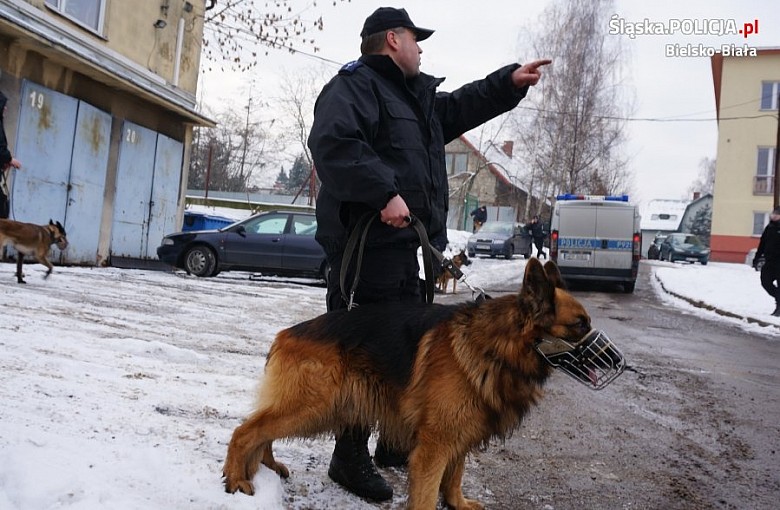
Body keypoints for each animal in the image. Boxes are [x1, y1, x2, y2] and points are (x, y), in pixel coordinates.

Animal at [222, 260, 600, 508]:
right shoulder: (434, 446)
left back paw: (265, 466)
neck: (498, 344)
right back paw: (236, 477)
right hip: (314, 407)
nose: (612, 361)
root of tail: (285, 334)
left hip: (323, 409)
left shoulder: (459, 434)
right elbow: (428, 494)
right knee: (246, 431)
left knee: (263, 431)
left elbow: (456, 475)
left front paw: (458, 503)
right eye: (580, 325)